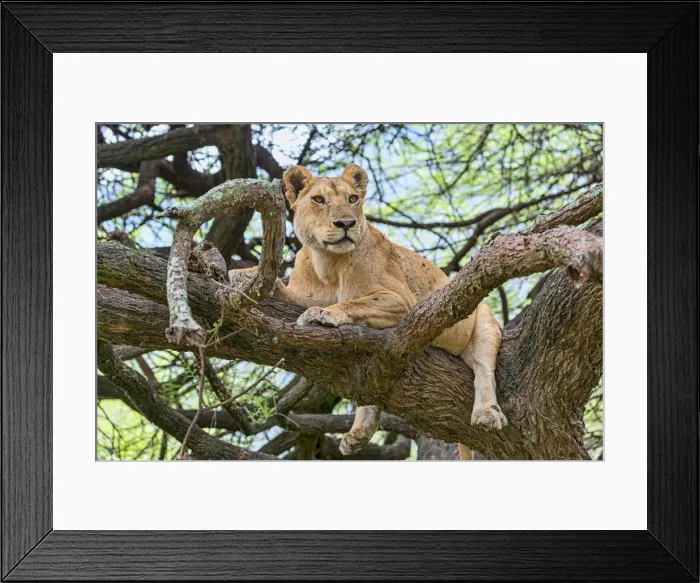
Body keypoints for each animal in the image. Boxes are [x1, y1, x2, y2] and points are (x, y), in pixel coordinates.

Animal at [248, 164, 506, 459]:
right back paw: (358, 433)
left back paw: (487, 414)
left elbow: (352, 302)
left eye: (352, 199)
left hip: (483, 322)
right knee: (371, 388)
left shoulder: (403, 300)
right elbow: (281, 289)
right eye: (319, 200)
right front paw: (241, 275)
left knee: (483, 370)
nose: (346, 224)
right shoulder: (300, 294)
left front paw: (322, 314)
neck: (328, 262)